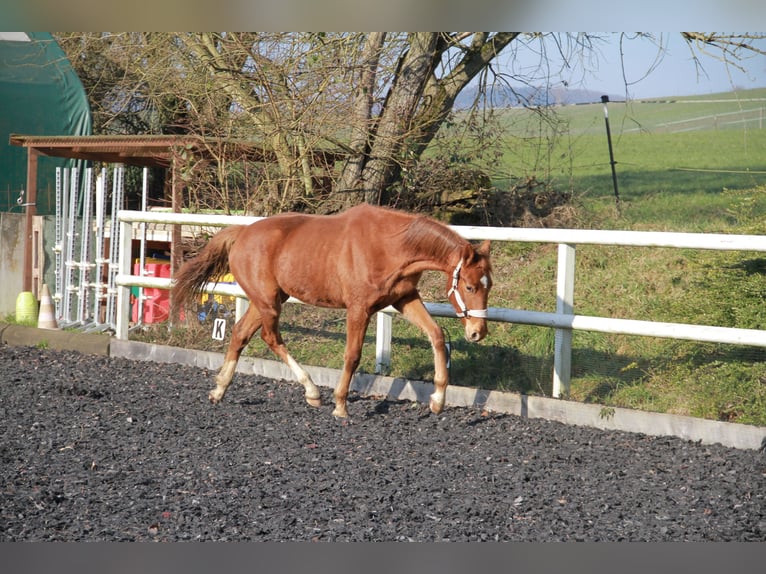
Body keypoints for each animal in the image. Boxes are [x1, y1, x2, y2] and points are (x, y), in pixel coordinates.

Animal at [172, 204, 496, 418]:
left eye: (488, 285)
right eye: (469, 287)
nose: (477, 332)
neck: (391, 245)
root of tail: (242, 232)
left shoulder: (405, 299)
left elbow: (436, 335)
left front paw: (437, 399)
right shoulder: (358, 309)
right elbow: (352, 356)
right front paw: (340, 405)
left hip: (267, 300)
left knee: (240, 334)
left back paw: (219, 390)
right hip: (268, 302)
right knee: (270, 336)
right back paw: (312, 392)